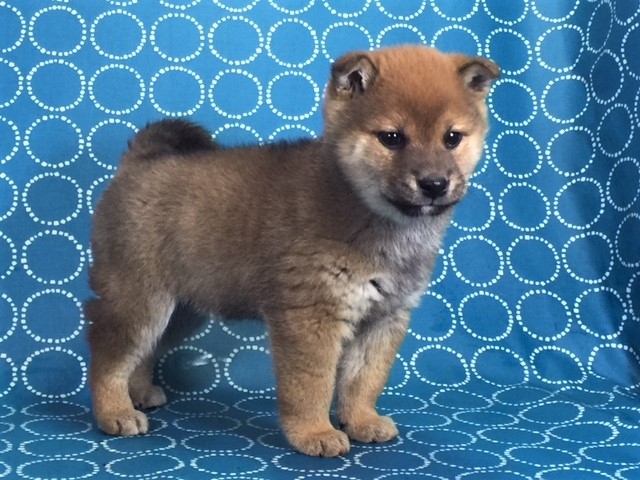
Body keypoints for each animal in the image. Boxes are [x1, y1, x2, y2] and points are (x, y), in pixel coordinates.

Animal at [86, 45, 499, 457]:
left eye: (452, 138)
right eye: (392, 138)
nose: (434, 183)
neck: (367, 213)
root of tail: (138, 163)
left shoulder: (384, 319)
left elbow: (364, 380)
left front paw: (362, 421)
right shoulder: (311, 314)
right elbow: (312, 384)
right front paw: (314, 433)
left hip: (181, 312)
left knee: (145, 352)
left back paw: (139, 392)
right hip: (139, 299)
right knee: (109, 354)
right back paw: (115, 412)